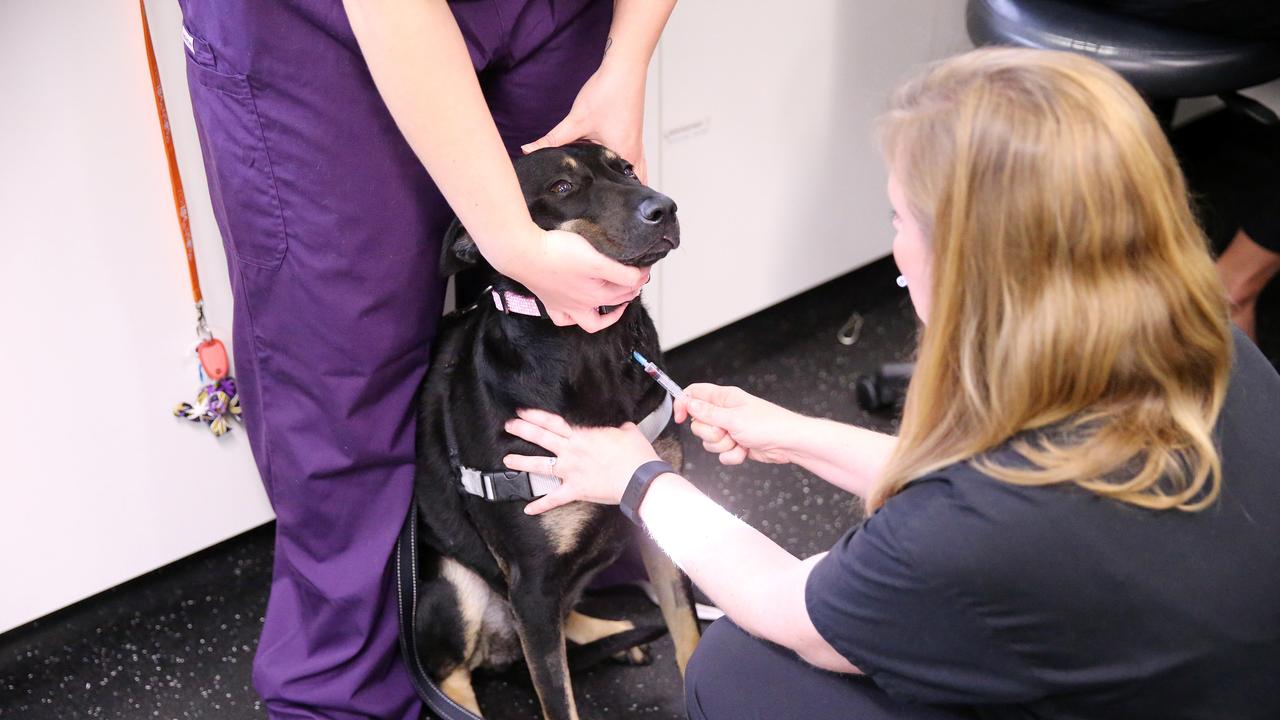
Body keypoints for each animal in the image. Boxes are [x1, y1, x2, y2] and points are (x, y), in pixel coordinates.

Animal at [412, 141, 701, 717]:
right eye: (562, 188)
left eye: (625, 168)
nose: (665, 207)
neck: (591, 349)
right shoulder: (531, 580)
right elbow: (558, 700)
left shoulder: (659, 526)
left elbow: (687, 636)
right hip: (457, 587)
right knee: (453, 676)